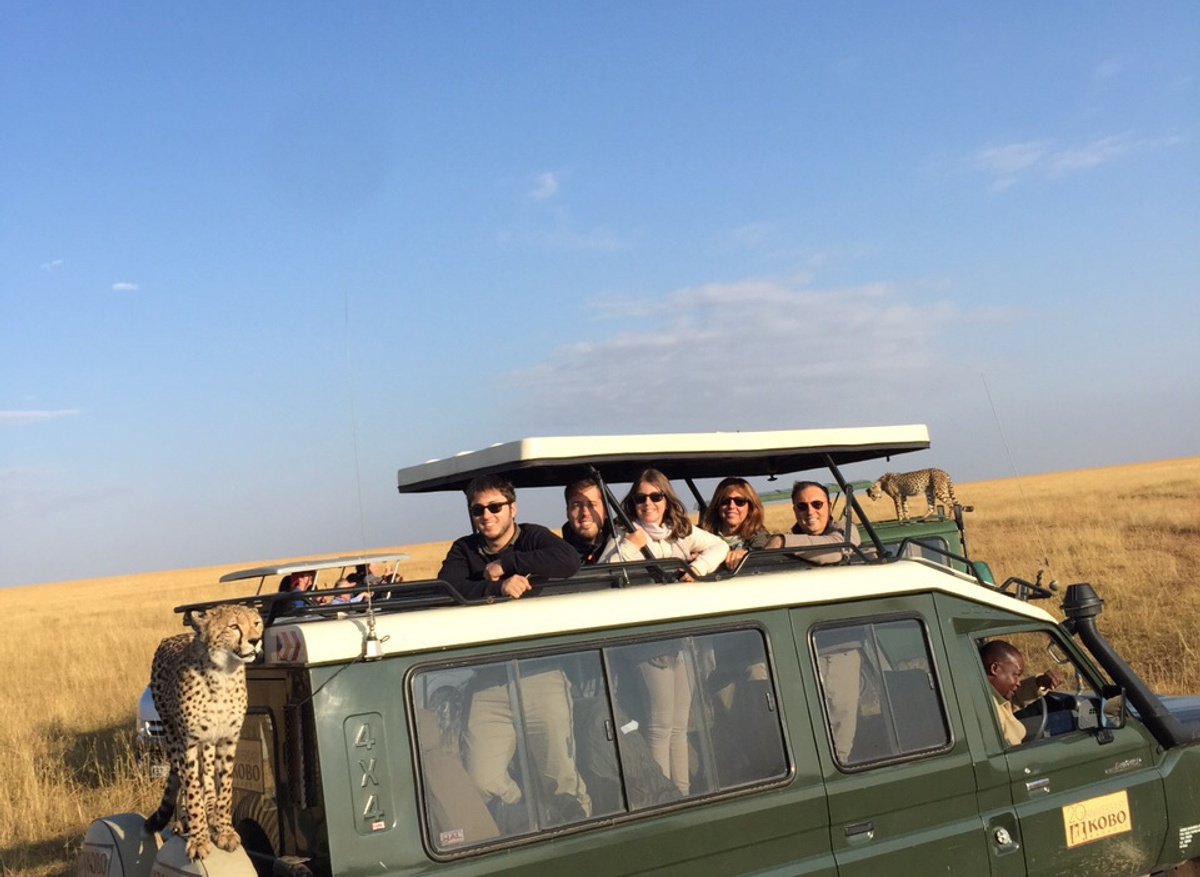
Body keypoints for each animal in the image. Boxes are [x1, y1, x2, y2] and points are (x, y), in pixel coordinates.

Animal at [143, 603, 264, 860]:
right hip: (172, 734)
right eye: (233, 626)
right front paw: (198, 838)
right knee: (181, 776)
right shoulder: (188, 742)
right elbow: (190, 788)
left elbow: (225, 788)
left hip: (207, 742)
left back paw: (210, 810)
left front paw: (224, 829)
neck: (224, 672)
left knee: (207, 775)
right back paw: (184, 821)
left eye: (256, 623)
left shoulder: (228, 738)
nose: (255, 640)